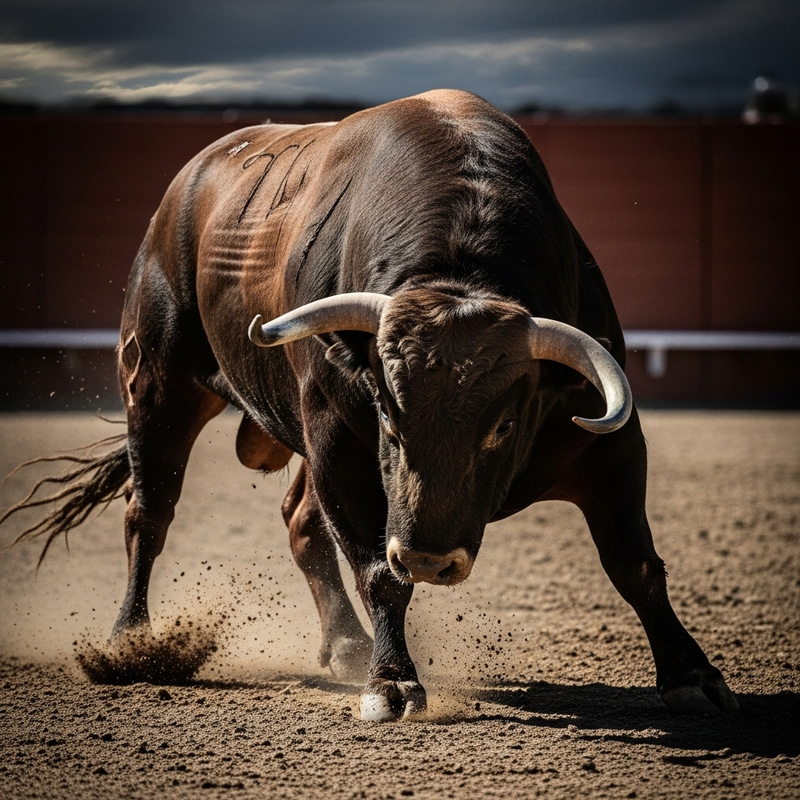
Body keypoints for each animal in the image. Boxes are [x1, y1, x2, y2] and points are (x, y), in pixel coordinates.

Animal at [2, 89, 737, 721]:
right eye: (387, 412)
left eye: (503, 424)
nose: (431, 561)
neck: (459, 271)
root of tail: (183, 190)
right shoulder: (338, 441)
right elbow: (377, 570)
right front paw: (391, 684)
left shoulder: (611, 444)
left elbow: (634, 564)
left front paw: (693, 676)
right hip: (158, 381)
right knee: (149, 510)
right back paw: (130, 643)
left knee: (298, 521)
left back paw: (347, 645)